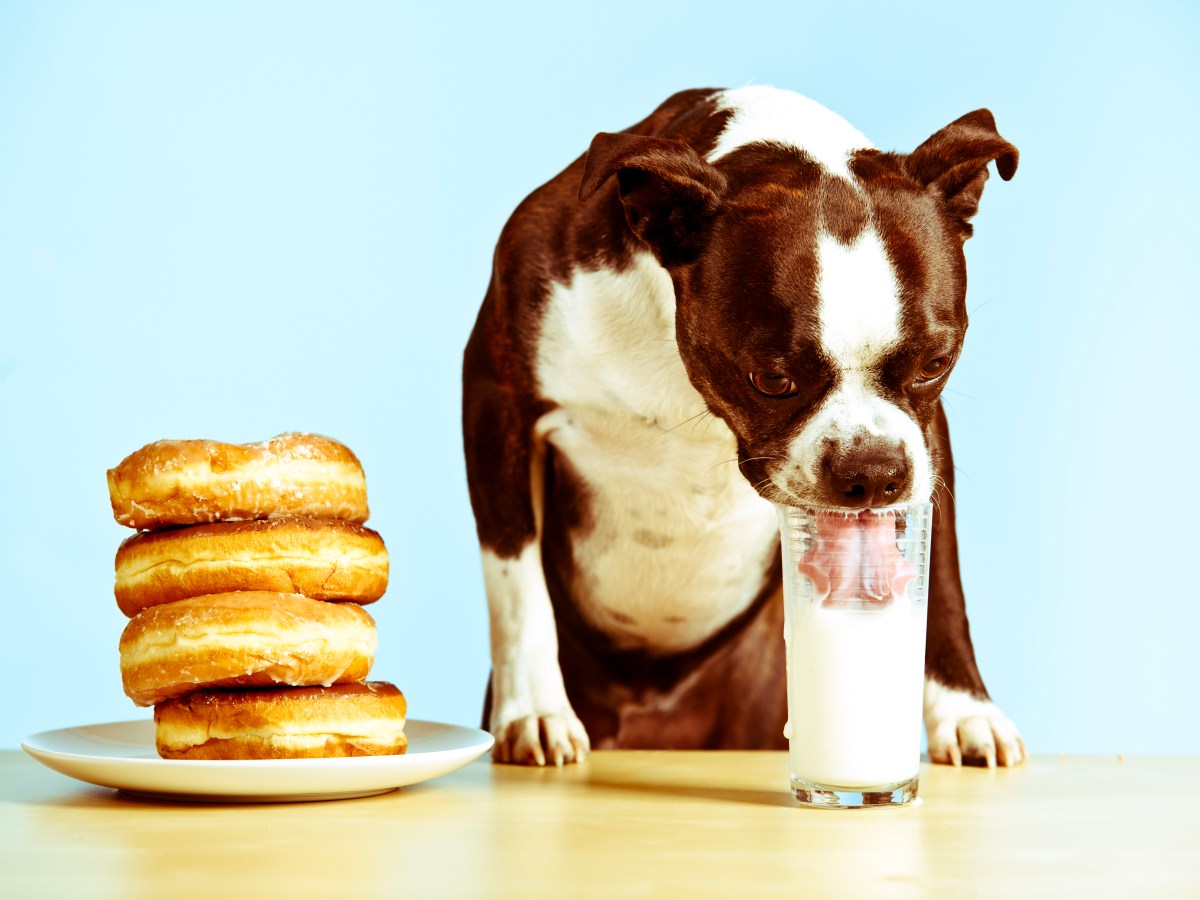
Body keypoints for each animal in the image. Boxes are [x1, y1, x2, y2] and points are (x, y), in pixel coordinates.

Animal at [463, 86, 1027, 768]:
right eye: (772, 380)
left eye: (935, 365)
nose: (872, 472)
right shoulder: (497, 401)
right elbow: (516, 582)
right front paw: (536, 710)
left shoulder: (926, 440)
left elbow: (941, 586)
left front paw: (967, 712)